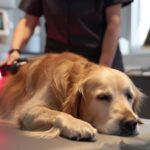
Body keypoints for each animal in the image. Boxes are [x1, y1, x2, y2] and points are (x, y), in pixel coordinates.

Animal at [0, 51, 142, 141]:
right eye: (103, 97)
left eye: (129, 96)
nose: (131, 123)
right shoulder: (27, 110)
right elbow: (59, 113)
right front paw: (78, 125)